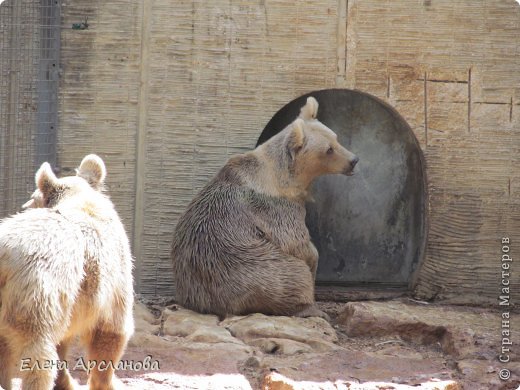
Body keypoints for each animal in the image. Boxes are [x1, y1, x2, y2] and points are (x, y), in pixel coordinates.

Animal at [0, 155, 134, 390]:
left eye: (33, 196)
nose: (24, 206)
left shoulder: (72, 301)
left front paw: (66, 382)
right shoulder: (114, 278)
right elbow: (112, 330)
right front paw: (108, 382)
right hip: (34, 293)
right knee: (37, 354)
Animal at [173, 96, 360, 320]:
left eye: (335, 138)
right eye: (328, 149)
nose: (353, 160)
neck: (284, 180)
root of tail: (207, 304)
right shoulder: (274, 207)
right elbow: (295, 242)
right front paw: (312, 258)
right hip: (247, 268)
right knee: (293, 275)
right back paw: (310, 308)